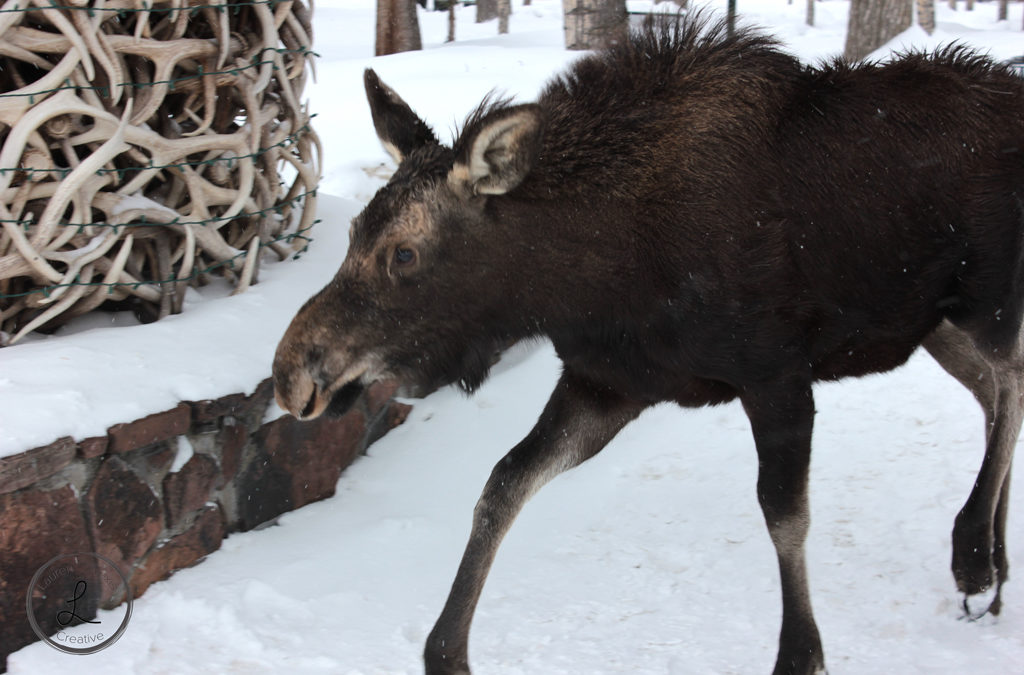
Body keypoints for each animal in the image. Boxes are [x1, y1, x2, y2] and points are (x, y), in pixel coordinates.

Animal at [274, 15, 1024, 675]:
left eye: (403, 253)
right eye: (353, 234)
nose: (289, 374)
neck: (591, 274)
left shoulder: (776, 376)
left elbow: (785, 515)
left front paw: (800, 653)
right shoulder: (608, 383)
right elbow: (502, 484)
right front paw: (446, 652)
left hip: (986, 298)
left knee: (1010, 379)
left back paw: (975, 553)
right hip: (936, 325)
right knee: (991, 394)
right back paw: (993, 558)